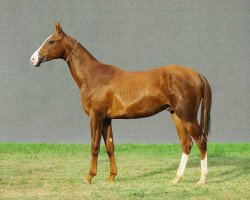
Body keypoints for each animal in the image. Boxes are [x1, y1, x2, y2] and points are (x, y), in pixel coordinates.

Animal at [30, 22, 212, 185]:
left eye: (51, 41)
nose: (33, 59)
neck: (93, 76)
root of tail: (197, 74)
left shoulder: (96, 117)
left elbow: (94, 146)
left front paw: (89, 177)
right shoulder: (106, 119)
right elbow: (110, 146)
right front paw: (112, 177)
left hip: (187, 116)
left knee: (201, 141)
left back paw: (202, 179)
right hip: (177, 116)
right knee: (186, 144)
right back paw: (176, 179)